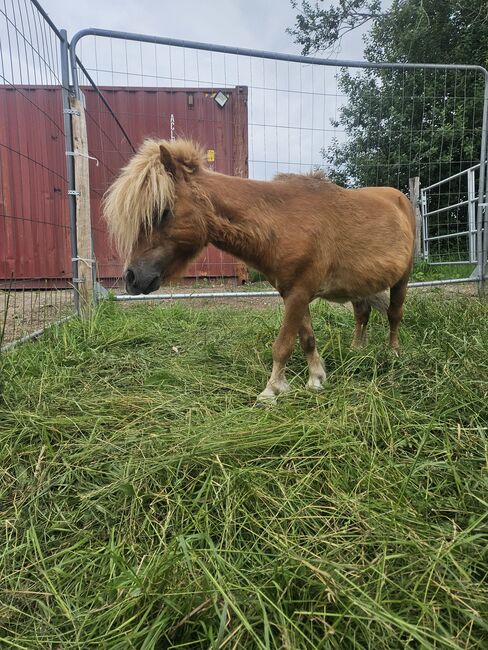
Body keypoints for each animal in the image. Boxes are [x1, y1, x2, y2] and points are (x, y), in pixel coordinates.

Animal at [103, 139, 416, 400]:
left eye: (163, 212)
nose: (132, 278)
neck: (282, 223)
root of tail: (400, 199)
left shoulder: (299, 293)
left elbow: (283, 345)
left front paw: (272, 390)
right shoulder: (293, 293)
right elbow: (307, 339)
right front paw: (316, 379)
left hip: (403, 279)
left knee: (394, 315)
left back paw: (393, 353)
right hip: (360, 287)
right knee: (362, 315)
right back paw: (357, 349)